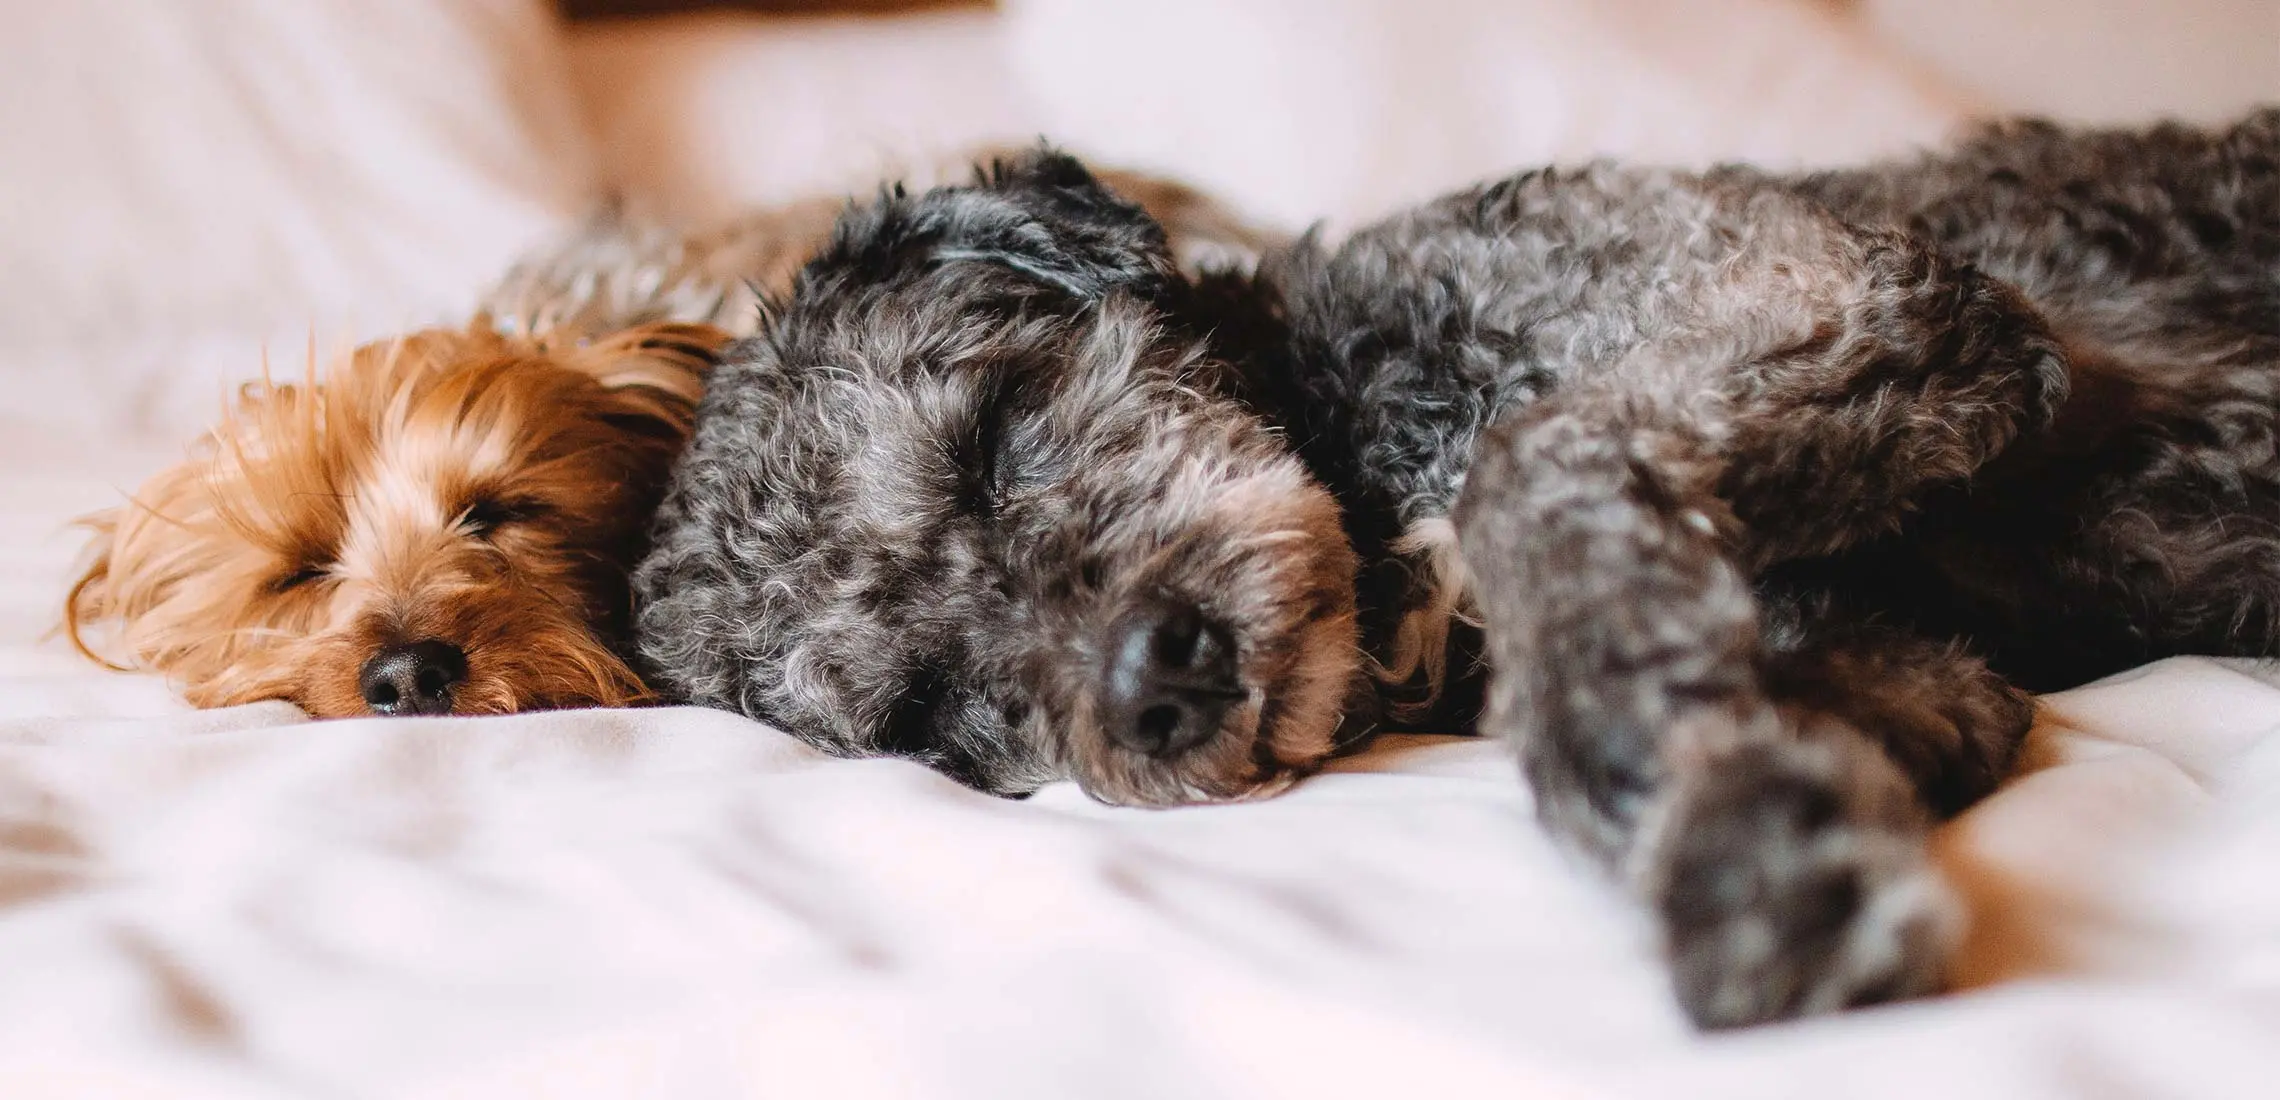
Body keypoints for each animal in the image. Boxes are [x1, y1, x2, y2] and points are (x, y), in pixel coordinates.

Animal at [635, 115, 2280, 1028]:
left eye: (987, 437)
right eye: (929, 714)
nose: (1156, 682)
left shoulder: (1856, 288)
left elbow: (1527, 470)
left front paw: (1738, 859)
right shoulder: (1928, 663)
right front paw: (1719, 774)